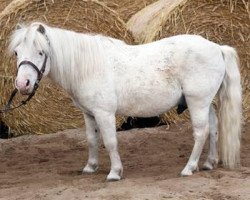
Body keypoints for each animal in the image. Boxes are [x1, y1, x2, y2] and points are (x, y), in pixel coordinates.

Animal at [10, 22, 242, 181]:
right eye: (16, 52)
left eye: (41, 52)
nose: (22, 84)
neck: (89, 66)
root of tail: (217, 48)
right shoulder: (89, 114)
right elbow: (92, 140)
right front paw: (90, 167)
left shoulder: (104, 113)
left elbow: (110, 141)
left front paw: (114, 172)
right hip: (205, 103)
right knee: (213, 128)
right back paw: (209, 163)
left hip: (197, 103)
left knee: (201, 132)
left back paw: (189, 168)